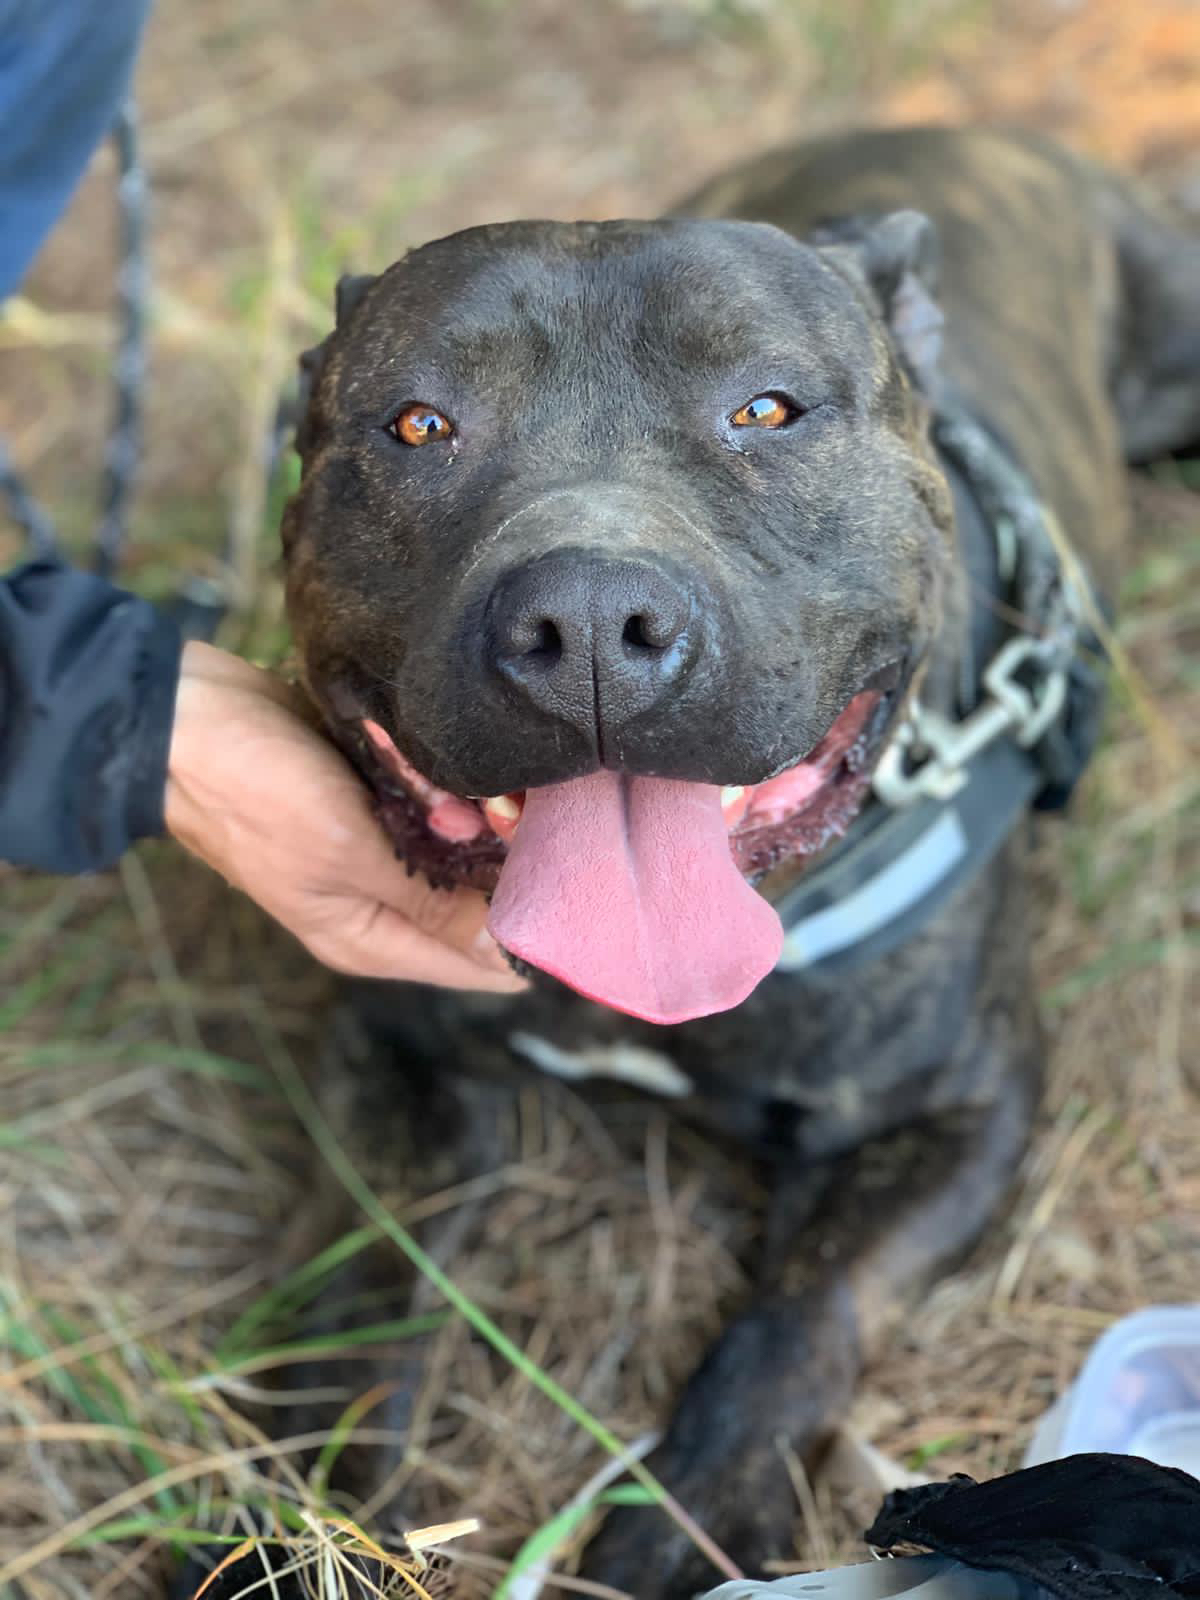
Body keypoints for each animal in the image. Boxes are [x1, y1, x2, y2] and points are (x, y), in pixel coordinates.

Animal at [182, 126, 1200, 1599]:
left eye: (767, 411)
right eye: (418, 424)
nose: (591, 617)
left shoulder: (956, 1109)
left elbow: (801, 1314)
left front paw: (685, 1523)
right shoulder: (388, 1060)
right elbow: (357, 1285)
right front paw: (291, 1526)